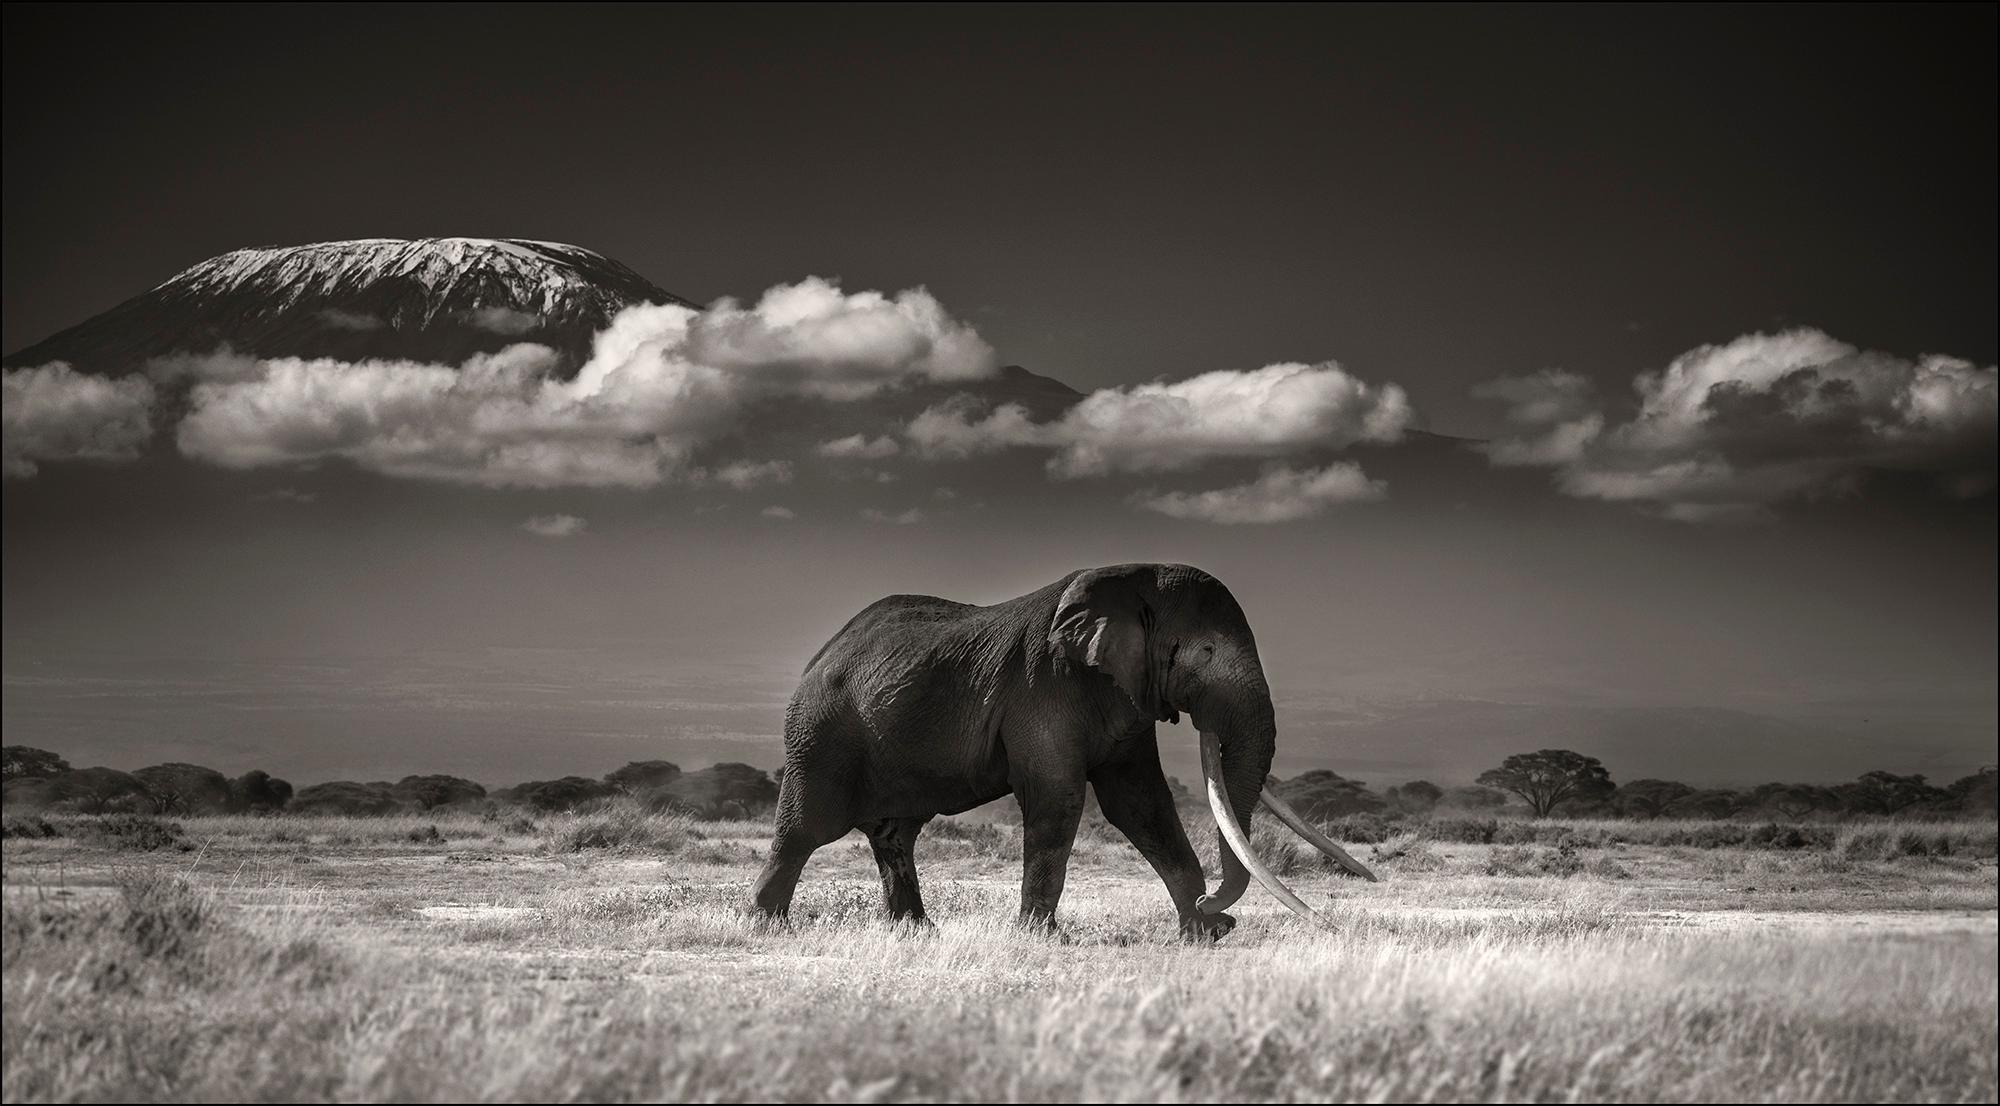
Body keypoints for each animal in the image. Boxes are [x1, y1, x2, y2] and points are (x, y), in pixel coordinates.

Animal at [752, 560, 1376, 940]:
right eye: (1202, 652)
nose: (1215, 911)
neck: (1130, 580)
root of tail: (820, 653)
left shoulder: (1125, 696)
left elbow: (1141, 804)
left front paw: (1202, 935)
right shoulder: (1042, 687)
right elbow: (1058, 798)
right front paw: (1041, 939)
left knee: (895, 834)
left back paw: (917, 934)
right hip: (821, 735)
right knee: (807, 827)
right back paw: (766, 925)